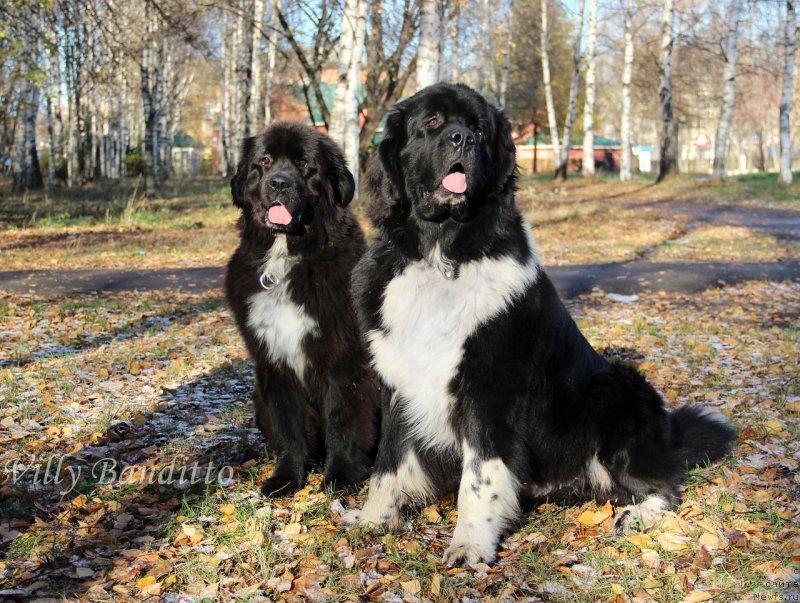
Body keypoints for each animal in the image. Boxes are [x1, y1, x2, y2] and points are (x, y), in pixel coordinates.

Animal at [228, 121, 382, 496]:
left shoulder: (344, 360)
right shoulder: (274, 363)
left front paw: (340, 476)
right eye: (265, 161)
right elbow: (289, 428)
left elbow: (343, 422)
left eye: (303, 164)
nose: (279, 183)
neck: (287, 258)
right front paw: (285, 478)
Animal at [340, 84, 736, 568]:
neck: (442, 255)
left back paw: (636, 516)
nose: (462, 139)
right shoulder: (399, 382)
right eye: (431, 123)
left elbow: (479, 478)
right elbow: (388, 462)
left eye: (479, 129)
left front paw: (469, 545)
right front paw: (374, 520)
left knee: (665, 485)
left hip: (615, 392)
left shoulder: (489, 392)